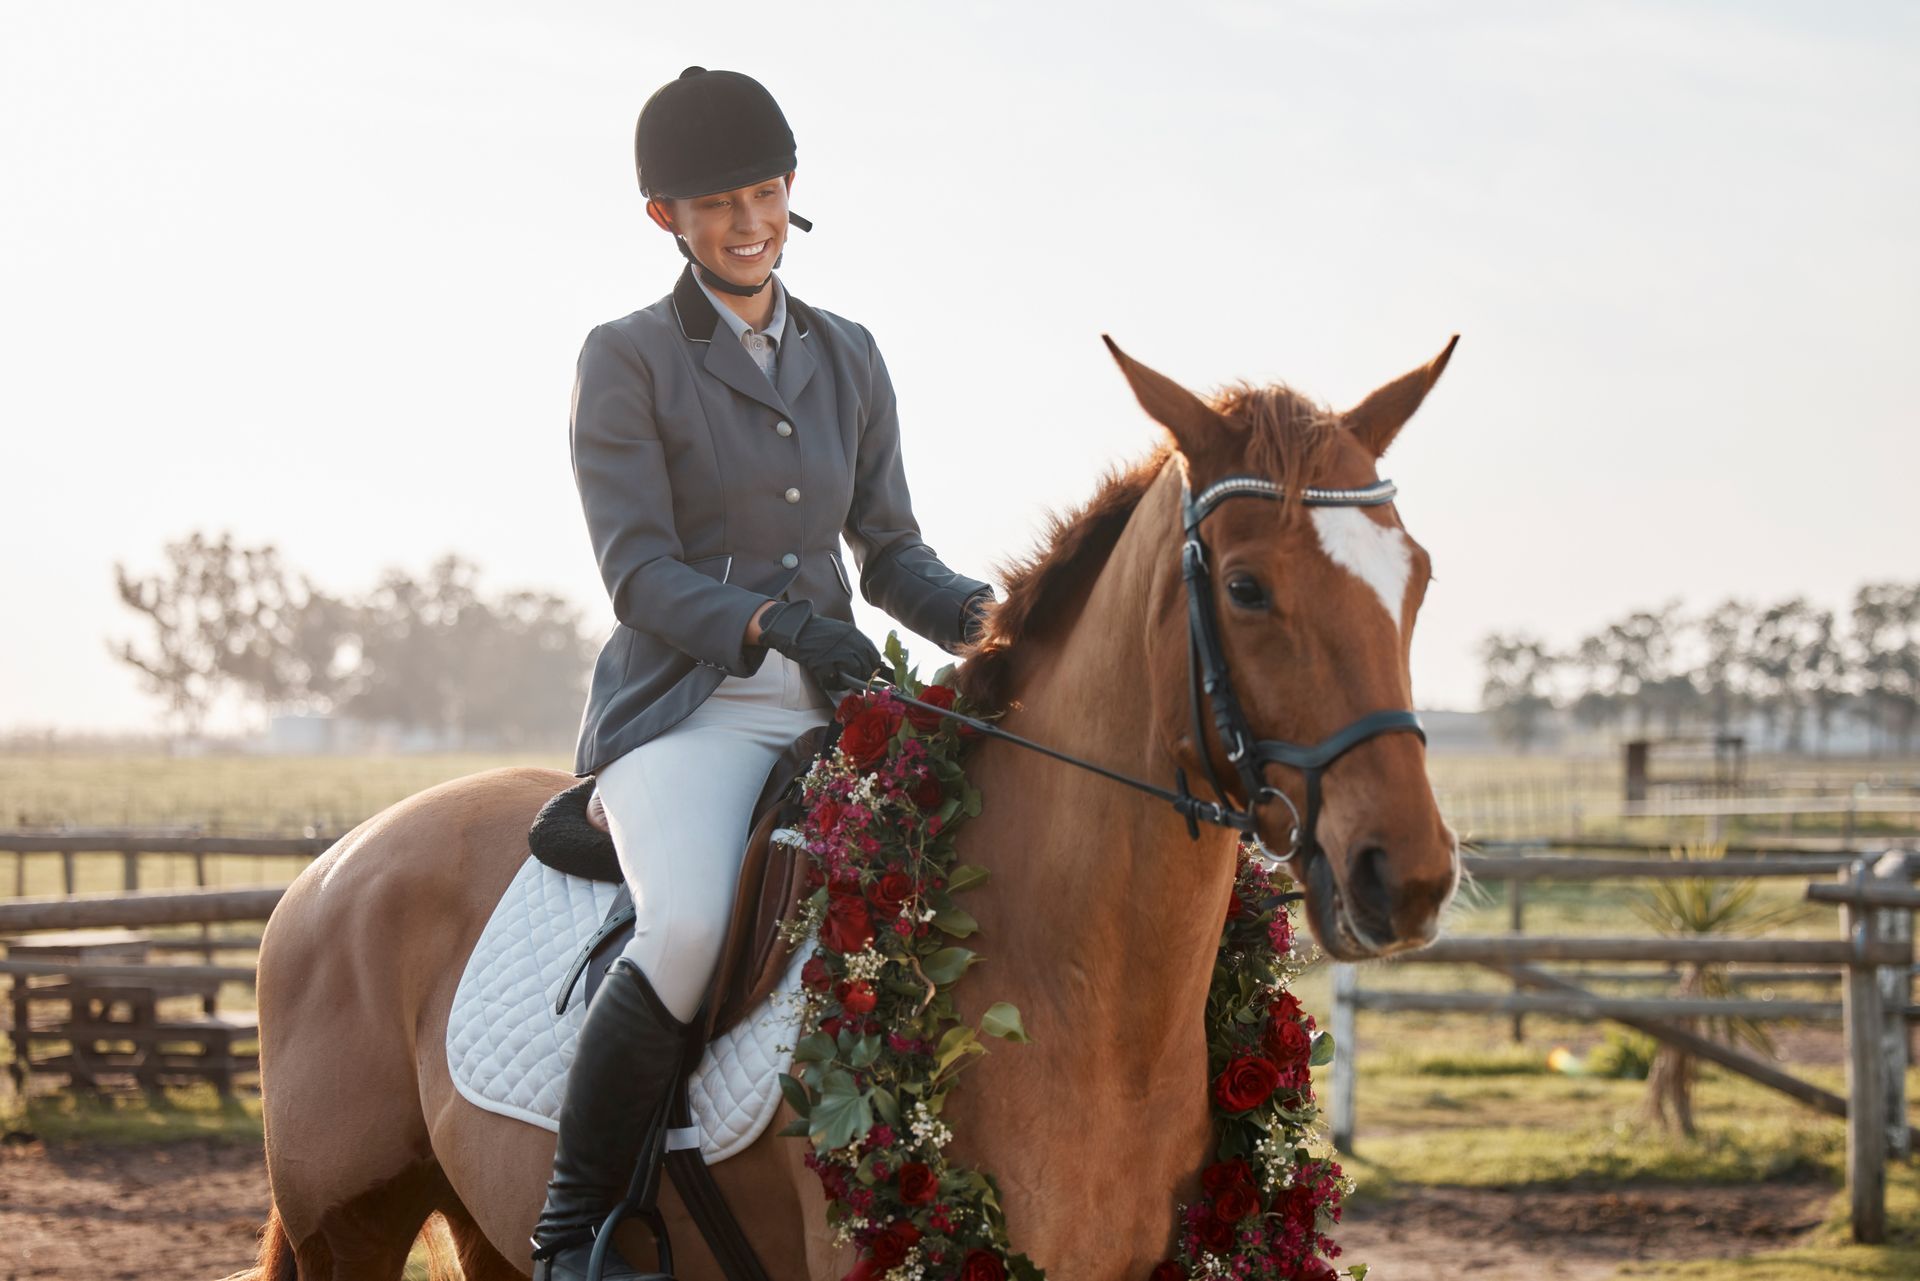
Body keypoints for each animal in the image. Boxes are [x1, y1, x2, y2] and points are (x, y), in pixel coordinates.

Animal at [243, 338, 1466, 1281]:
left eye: (1418, 577)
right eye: (1248, 587)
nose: (1404, 875)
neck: (1082, 992)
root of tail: (327, 871)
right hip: (350, 1223)